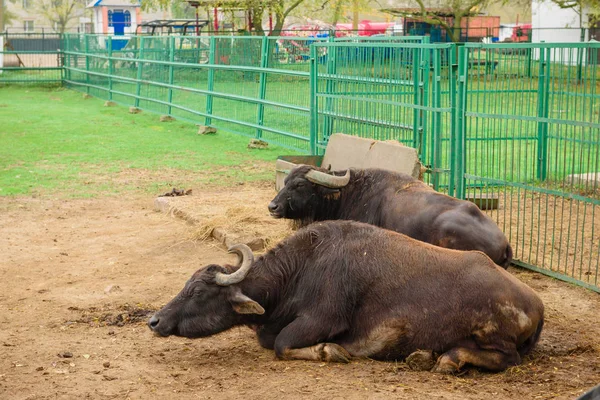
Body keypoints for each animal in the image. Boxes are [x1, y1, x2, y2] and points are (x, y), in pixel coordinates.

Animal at [150, 220, 544, 374]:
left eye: (198, 291)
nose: (154, 320)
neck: (302, 270)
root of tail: (535, 304)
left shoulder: (323, 319)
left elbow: (280, 343)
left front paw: (331, 351)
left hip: (494, 336)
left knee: (506, 358)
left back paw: (447, 359)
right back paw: (424, 356)